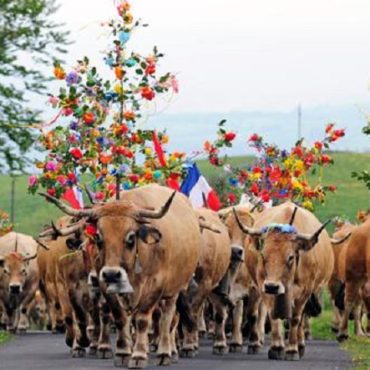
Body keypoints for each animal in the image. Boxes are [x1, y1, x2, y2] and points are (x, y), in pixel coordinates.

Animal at [39, 184, 202, 368]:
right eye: (98, 237)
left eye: (131, 237)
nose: (111, 273)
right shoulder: (86, 287)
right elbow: (115, 317)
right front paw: (122, 352)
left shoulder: (156, 286)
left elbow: (142, 320)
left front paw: (138, 355)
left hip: (175, 289)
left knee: (169, 318)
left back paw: (166, 352)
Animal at [234, 202, 336, 362]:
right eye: (263, 255)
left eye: (290, 257)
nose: (272, 286)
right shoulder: (264, 287)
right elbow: (273, 316)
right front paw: (277, 347)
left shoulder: (305, 291)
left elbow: (295, 319)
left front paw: (292, 349)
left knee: (301, 319)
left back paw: (300, 345)